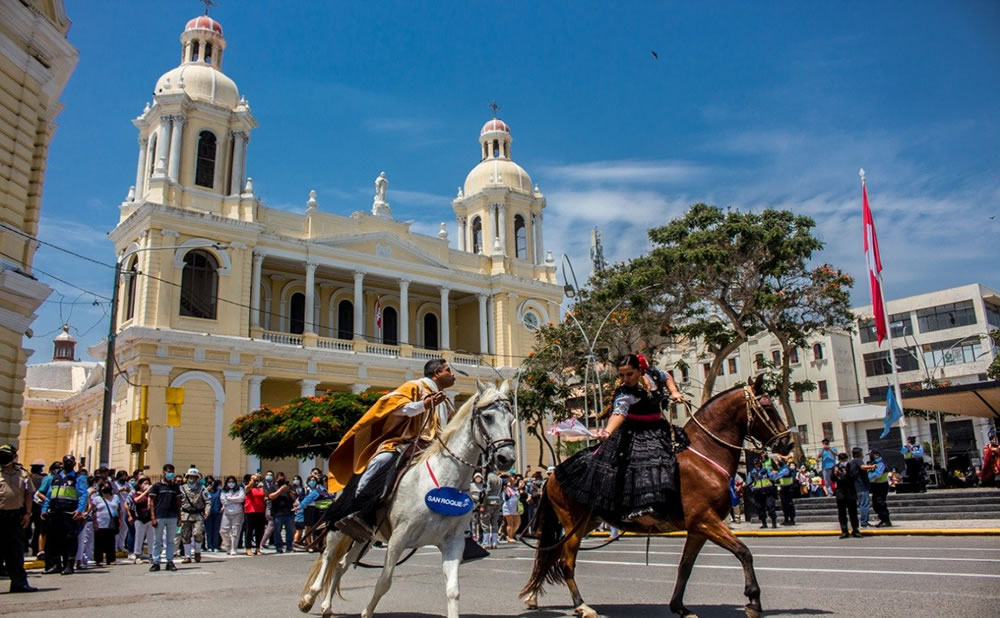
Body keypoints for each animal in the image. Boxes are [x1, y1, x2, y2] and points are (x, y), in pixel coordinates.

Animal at [296, 378, 516, 612]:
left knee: (341, 564)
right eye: (488, 417)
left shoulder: (453, 543)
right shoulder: (398, 538)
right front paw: (366, 612)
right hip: (337, 527)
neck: (443, 482)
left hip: (364, 538)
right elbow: (384, 582)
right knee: (328, 556)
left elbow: (453, 591)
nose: (506, 459)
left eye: (512, 419)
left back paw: (326, 606)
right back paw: (309, 598)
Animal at [524, 372, 788, 616]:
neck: (704, 454)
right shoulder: (705, 520)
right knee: (565, 562)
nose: (786, 444)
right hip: (573, 523)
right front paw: (753, 601)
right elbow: (744, 552)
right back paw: (582, 606)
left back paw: (533, 597)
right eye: (768, 407)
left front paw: (679, 607)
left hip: (586, 522)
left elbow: (685, 567)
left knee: (551, 555)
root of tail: (552, 475)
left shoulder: (698, 528)